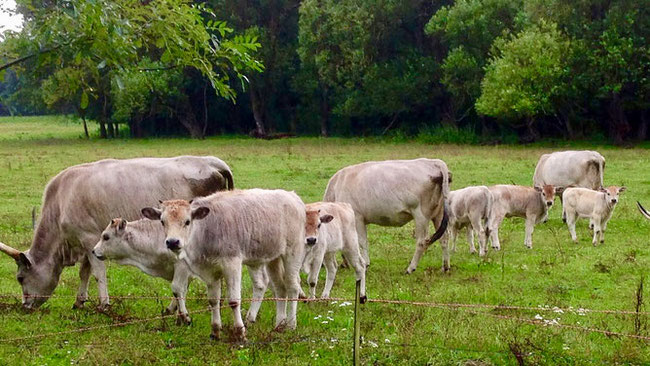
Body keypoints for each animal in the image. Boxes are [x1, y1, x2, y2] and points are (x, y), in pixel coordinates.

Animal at [0, 156, 233, 310]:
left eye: (20, 278)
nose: (25, 305)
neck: (60, 200)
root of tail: (212, 162)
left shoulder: (88, 238)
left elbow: (97, 273)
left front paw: (103, 304)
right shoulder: (88, 243)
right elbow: (84, 272)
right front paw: (79, 300)